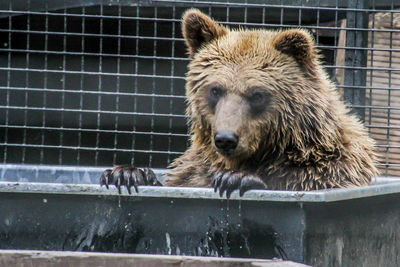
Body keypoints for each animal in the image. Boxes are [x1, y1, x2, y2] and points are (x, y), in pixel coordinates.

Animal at [100, 9, 378, 198]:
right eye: (215, 89)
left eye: (257, 94)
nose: (225, 139)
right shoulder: (195, 170)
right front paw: (126, 173)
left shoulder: (327, 171)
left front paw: (236, 179)